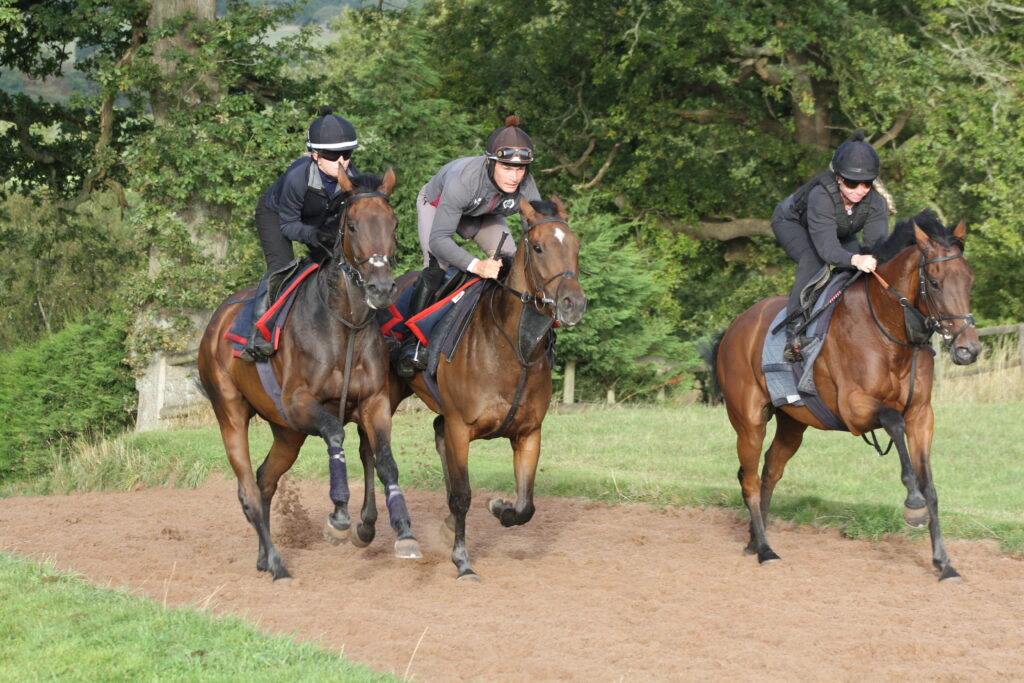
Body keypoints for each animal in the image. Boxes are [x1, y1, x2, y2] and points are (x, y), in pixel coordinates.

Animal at [198, 168, 422, 582]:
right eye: (352, 225)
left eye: (394, 223)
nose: (382, 288)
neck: (346, 325)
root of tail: (216, 322)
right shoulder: (300, 403)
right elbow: (336, 435)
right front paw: (339, 517)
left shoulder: (374, 402)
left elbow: (384, 459)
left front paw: (403, 531)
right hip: (231, 412)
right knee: (248, 489)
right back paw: (277, 565)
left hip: (287, 431)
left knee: (265, 480)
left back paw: (264, 557)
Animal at [386, 196, 587, 580]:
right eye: (538, 247)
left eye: (575, 246)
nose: (574, 304)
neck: (515, 350)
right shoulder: (460, 428)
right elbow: (462, 496)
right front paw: (463, 561)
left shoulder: (529, 433)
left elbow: (526, 505)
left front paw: (500, 507)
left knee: (436, 433)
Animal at [707, 211, 980, 581]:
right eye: (935, 283)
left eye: (969, 280)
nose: (969, 350)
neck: (890, 334)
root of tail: (733, 328)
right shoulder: (853, 408)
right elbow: (893, 421)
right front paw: (912, 504)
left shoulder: (922, 414)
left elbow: (931, 486)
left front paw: (944, 563)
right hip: (749, 420)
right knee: (749, 479)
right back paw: (765, 549)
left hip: (792, 423)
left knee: (769, 471)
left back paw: (754, 538)